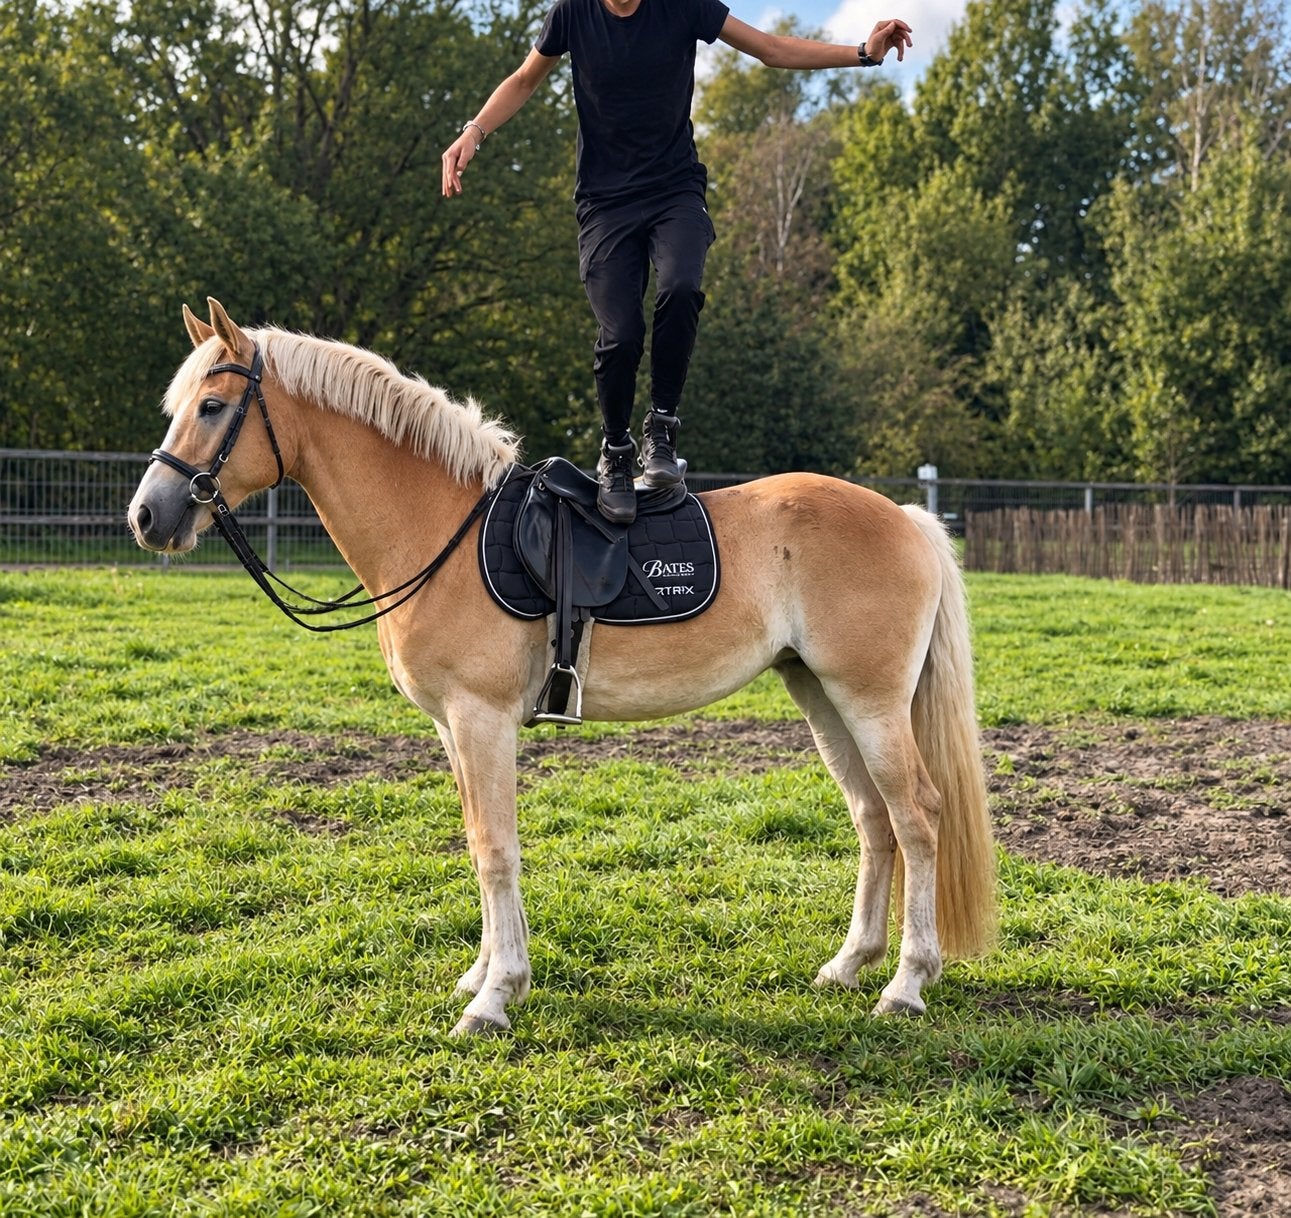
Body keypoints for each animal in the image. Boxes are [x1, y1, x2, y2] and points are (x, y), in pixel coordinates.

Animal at [128, 297, 996, 1036]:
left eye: (212, 407)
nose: (146, 517)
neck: (439, 528)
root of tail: (909, 519)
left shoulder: (481, 719)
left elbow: (495, 848)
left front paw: (495, 997)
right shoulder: (452, 727)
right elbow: (477, 839)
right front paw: (483, 975)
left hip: (869, 700)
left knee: (917, 816)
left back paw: (905, 985)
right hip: (820, 694)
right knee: (873, 821)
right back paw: (849, 965)